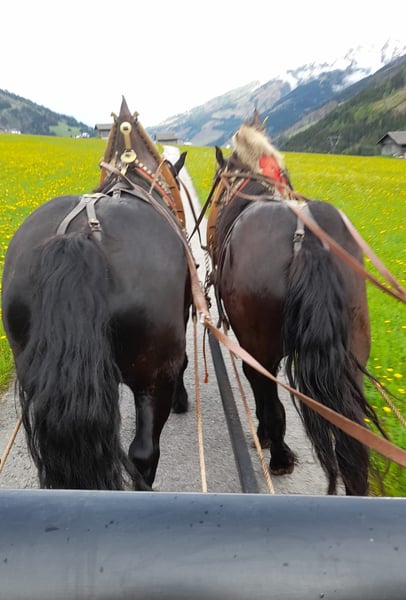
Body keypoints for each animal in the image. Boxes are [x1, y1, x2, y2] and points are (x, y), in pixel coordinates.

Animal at [207, 116, 384, 495]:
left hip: (260, 345)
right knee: (353, 440)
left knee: (271, 399)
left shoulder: (254, 348)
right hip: (353, 351)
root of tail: (308, 235)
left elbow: (265, 396)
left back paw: (278, 457)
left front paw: (266, 439)